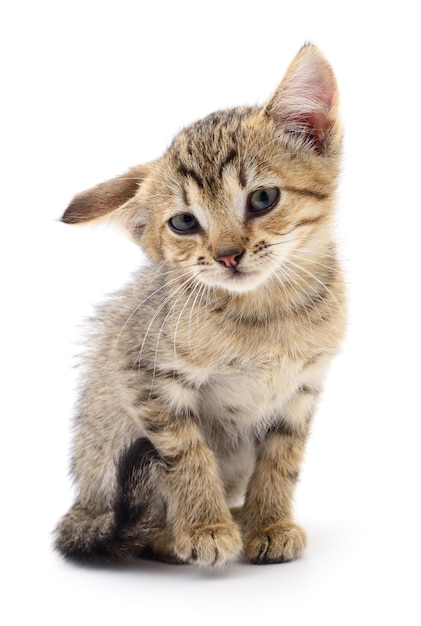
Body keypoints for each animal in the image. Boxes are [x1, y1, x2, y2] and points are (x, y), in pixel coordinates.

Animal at [55, 42, 344, 560]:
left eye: (263, 198)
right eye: (184, 223)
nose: (228, 256)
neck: (266, 314)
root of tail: (84, 508)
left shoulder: (304, 387)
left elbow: (283, 458)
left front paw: (268, 522)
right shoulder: (142, 374)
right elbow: (187, 454)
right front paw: (206, 527)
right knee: (131, 534)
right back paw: (183, 533)